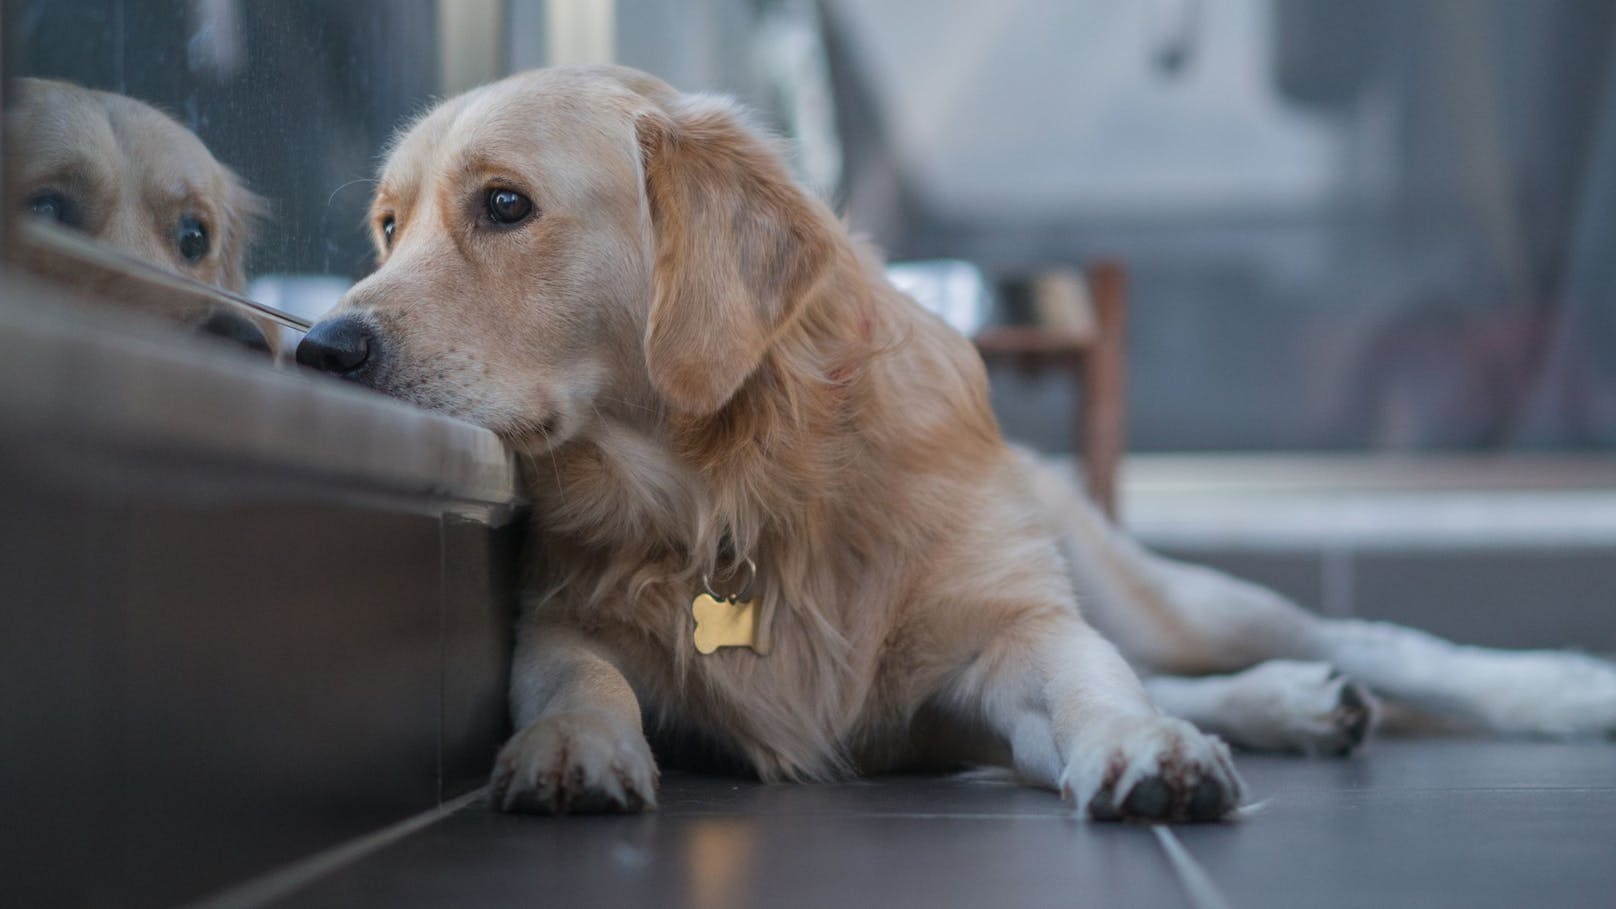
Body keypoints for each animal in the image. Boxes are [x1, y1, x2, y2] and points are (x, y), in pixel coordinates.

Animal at [294, 65, 1616, 821]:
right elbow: (578, 678)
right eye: (387, 225)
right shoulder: (561, 617)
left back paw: (1546, 688)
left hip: (1149, 589)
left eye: (504, 206)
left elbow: (1087, 680)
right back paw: (1291, 705)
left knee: (1348, 638)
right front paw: (569, 748)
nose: (320, 349)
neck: (733, 488)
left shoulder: (1002, 633)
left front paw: (1143, 747)